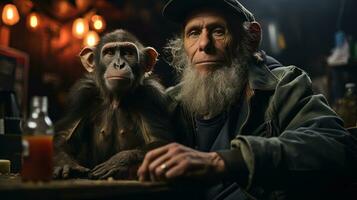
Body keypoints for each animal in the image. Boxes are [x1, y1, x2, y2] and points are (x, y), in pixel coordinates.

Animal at [52, 29, 174, 180]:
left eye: (128, 53)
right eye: (109, 53)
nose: (119, 64)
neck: (116, 98)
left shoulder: (152, 96)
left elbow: (160, 142)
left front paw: (120, 161)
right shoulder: (82, 94)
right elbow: (65, 136)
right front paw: (65, 163)